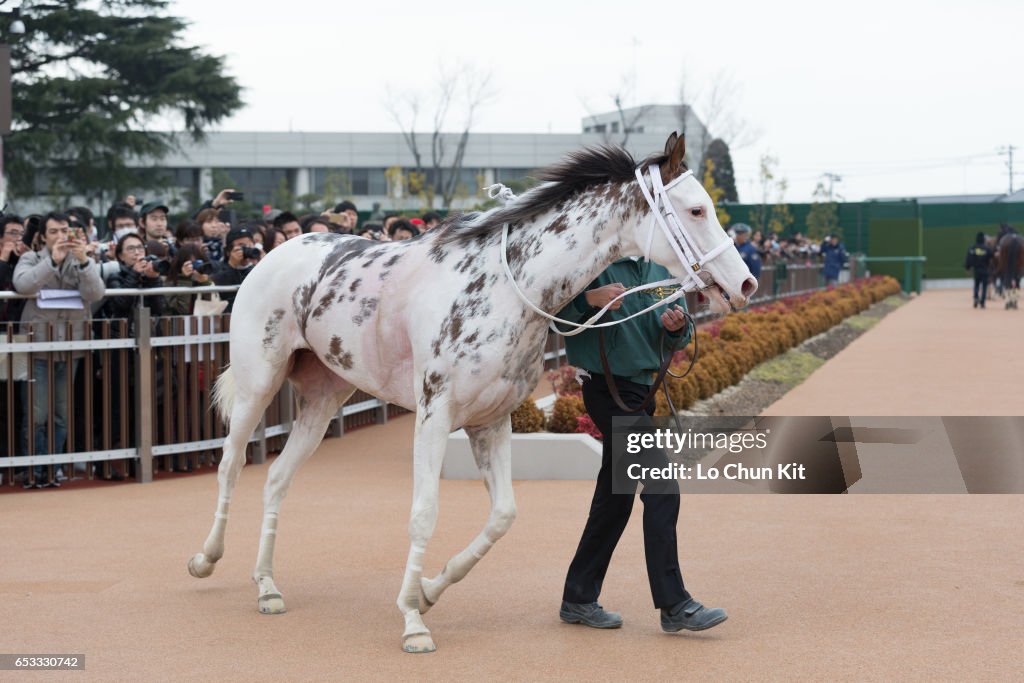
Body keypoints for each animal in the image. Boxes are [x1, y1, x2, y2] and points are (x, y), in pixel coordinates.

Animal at [188, 132, 757, 651]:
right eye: (696, 209)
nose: (746, 284)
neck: (503, 289)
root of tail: (278, 252)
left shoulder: (492, 419)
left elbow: (503, 515)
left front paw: (428, 591)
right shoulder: (433, 414)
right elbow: (423, 513)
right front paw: (412, 621)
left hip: (325, 396)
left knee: (277, 479)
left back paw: (267, 587)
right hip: (259, 380)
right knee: (231, 465)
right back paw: (205, 559)